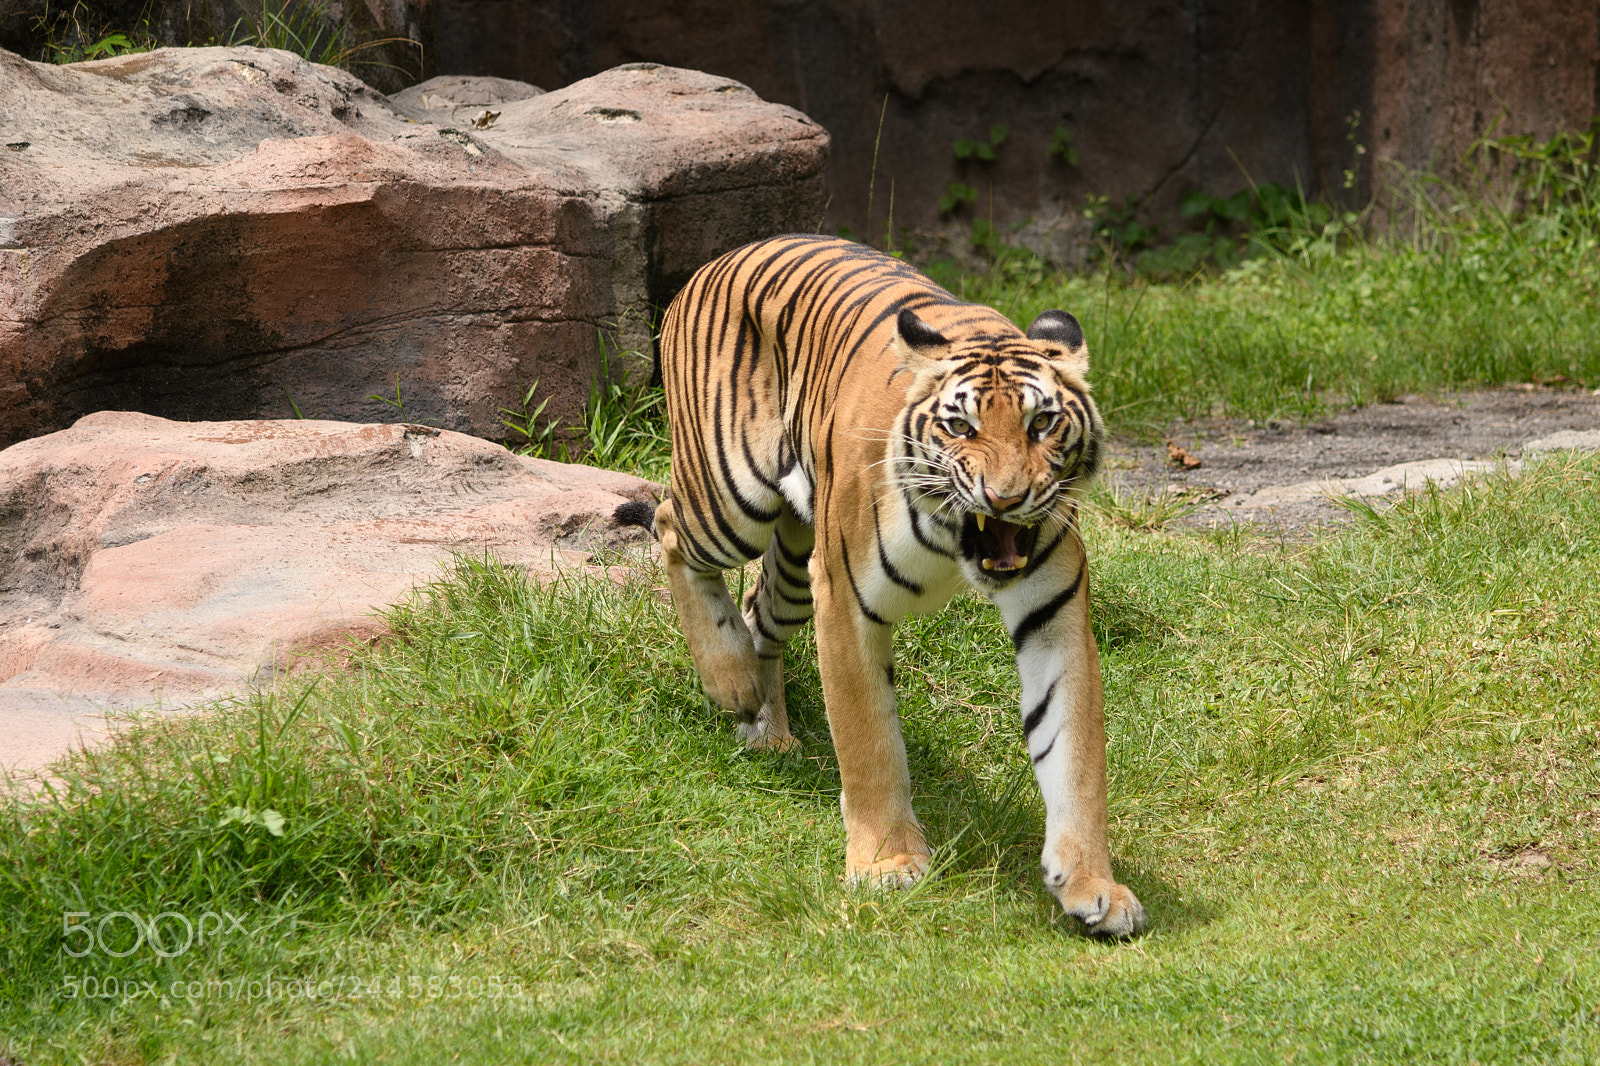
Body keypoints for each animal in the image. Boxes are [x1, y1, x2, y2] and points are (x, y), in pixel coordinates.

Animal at [647, 234, 1145, 937]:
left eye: (1041, 424)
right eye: (961, 427)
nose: (1007, 497)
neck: (954, 545)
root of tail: (720, 259)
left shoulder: (1054, 616)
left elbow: (1075, 755)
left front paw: (1092, 885)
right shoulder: (844, 602)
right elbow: (868, 740)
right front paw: (888, 865)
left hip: (795, 559)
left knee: (756, 607)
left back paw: (766, 729)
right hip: (731, 495)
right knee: (668, 524)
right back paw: (729, 679)